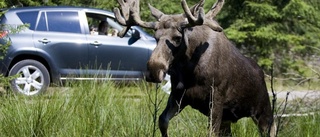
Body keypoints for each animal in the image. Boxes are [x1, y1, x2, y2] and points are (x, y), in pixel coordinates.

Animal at [114, 0, 276, 136]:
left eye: (178, 37)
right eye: (156, 37)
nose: (154, 71)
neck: (187, 68)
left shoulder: (216, 99)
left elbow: (211, 132)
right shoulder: (178, 96)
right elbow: (162, 121)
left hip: (263, 112)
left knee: (272, 128)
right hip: (229, 118)